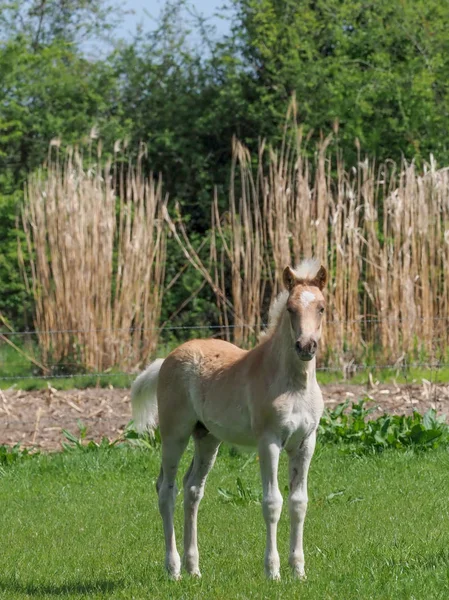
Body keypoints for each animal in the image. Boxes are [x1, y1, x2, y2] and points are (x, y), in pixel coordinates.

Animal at [130, 260, 326, 580]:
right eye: (290, 308)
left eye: (321, 307)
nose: (306, 346)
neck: (293, 384)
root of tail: (166, 360)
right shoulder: (268, 442)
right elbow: (272, 502)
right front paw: (272, 572)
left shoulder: (305, 443)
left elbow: (299, 502)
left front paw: (299, 571)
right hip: (174, 435)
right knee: (166, 490)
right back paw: (173, 569)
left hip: (207, 438)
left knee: (192, 489)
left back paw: (194, 569)